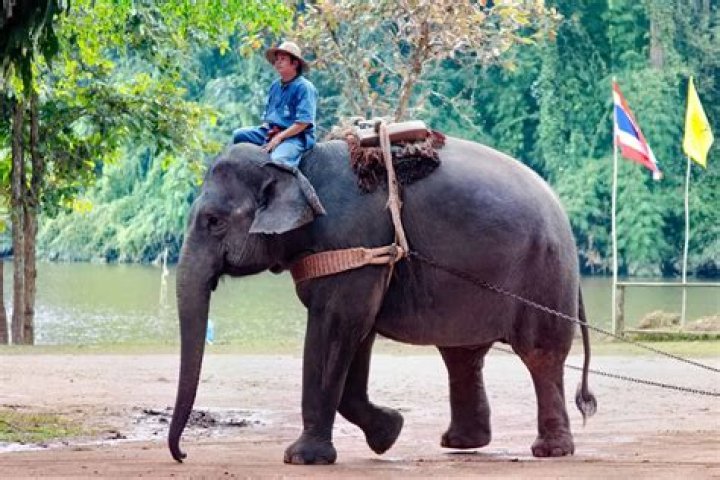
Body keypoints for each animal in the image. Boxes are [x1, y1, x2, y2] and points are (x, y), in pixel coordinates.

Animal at [168, 136, 597, 465]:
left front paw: (302, 458)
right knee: (462, 354)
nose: (183, 455)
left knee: (540, 354)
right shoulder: (364, 257)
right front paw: (390, 431)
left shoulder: (353, 241)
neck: (295, 167)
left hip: (543, 273)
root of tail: (562, 214)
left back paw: (550, 451)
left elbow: (338, 324)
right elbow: (356, 332)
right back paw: (461, 443)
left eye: (213, 222)